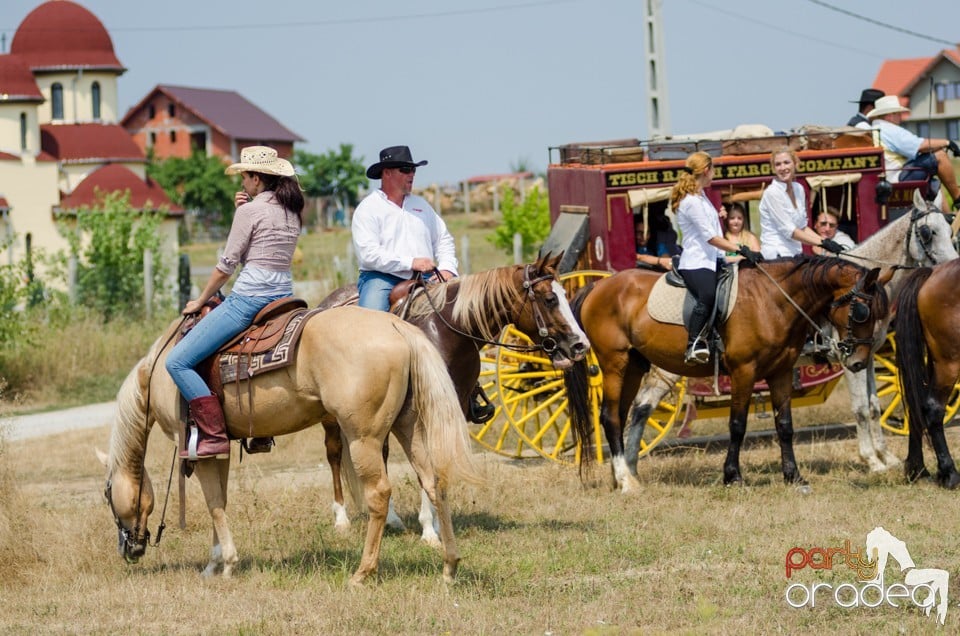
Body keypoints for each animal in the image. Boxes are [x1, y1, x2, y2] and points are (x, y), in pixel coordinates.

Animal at [101, 306, 484, 584]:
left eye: (107, 494)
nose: (128, 549)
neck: (158, 373)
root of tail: (396, 326)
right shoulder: (216, 448)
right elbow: (219, 500)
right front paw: (214, 564)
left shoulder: (196, 447)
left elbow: (214, 505)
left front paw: (226, 565)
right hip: (409, 426)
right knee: (434, 482)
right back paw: (449, 566)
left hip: (363, 438)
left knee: (379, 494)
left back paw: (363, 572)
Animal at [318, 253, 588, 540]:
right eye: (549, 299)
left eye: (564, 295)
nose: (580, 345)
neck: (448, 331)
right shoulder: (421, 413)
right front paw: (429, 530)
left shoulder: (450, 405)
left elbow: (438, 462)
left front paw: (437, 524)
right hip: (333, 418)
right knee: (334, 454)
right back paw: (341, 518)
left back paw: (391, 518)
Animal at [568, 256, 888, 490]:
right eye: (862, 312)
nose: (859, 362)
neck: (772, 299)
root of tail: (597, 286)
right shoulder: (743, 372)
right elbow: (737, 425)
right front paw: (732, 476)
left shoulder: (781, 372)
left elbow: (785, 425)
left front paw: (793, 475)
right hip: (614, 364)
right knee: (610, 417)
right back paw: (624, 480)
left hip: (634, 366)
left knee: (621, 416)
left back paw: (621, 476)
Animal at [896, 258, 960, 492]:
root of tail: (932, 272)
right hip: (949, 363)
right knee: (932, 408)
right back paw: (949, 474)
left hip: (935, 360)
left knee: (915, 405)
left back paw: (918, 469)